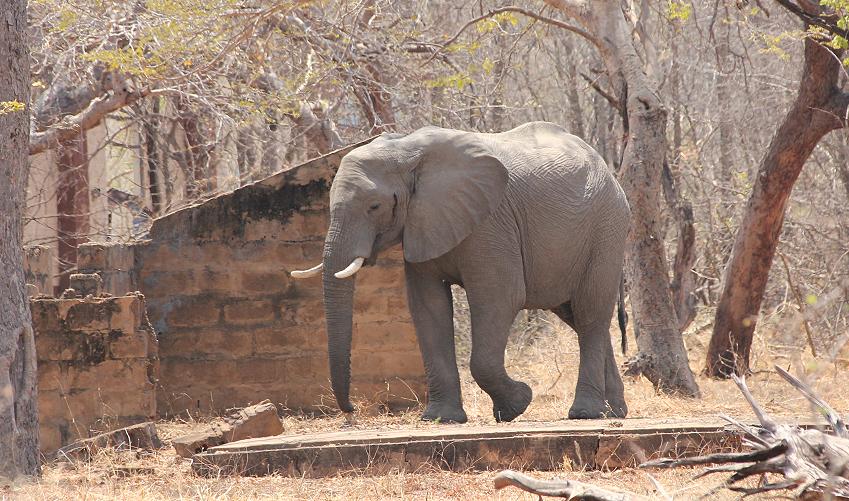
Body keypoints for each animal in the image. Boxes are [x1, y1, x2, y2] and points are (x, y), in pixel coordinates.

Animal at [292, 121, 628, 422]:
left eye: (374, 206)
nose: (351, 410)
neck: (407, 151)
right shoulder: (423, 224)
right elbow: (428, 306)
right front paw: (441, 419)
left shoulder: (491, 223)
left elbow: (500, 297)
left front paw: (517, 404)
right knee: (577, 317)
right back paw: (614, 412)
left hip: (606, 230)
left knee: (590, 314)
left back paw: (586, 413)